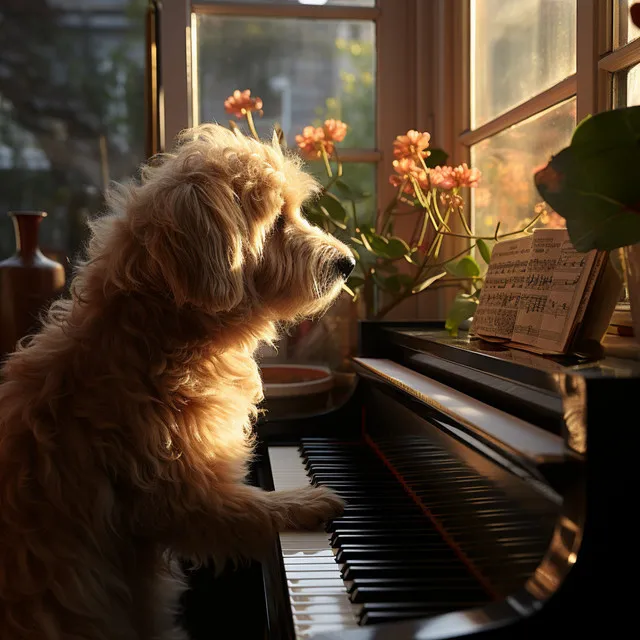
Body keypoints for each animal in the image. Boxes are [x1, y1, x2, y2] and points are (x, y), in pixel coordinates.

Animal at [0, 125, 356, 640]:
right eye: (276, 222)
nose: (348, 263)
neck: (157, 337)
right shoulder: (182, 498)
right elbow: (249, 508)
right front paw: (306, 501)